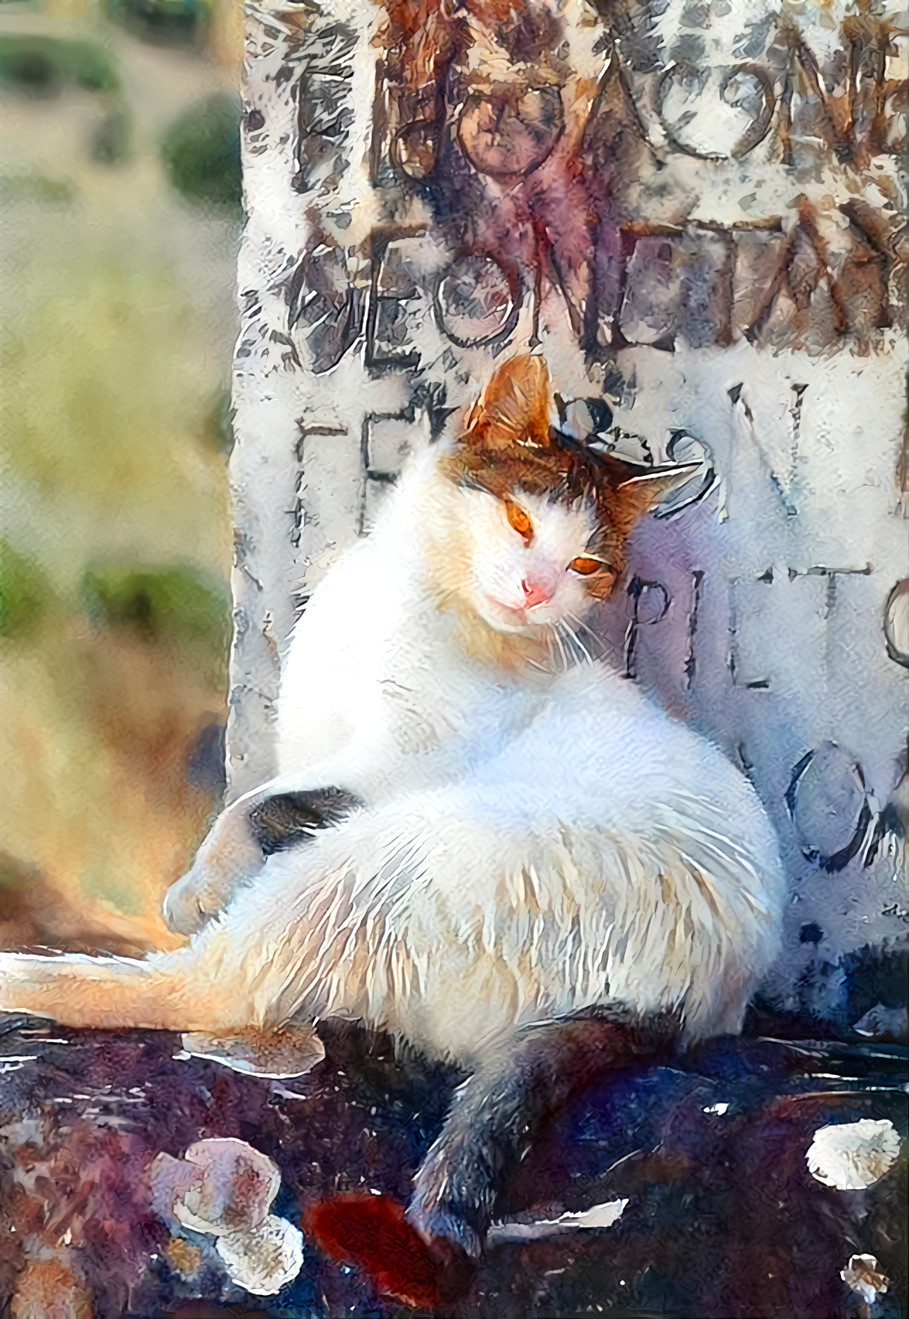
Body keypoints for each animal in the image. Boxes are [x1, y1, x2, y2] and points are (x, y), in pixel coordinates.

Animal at [0, 353, 781, 1308]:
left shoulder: (394, 764)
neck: (409, 600)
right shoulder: (314, 748)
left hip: (385, 851)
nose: (536, 589)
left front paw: (198, 886)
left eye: (586, 562)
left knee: (207, 988)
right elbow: (257, 799)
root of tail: (683, 1005)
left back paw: (26, 971)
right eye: (520, 520)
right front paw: (210, 879)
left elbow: (251, 807)